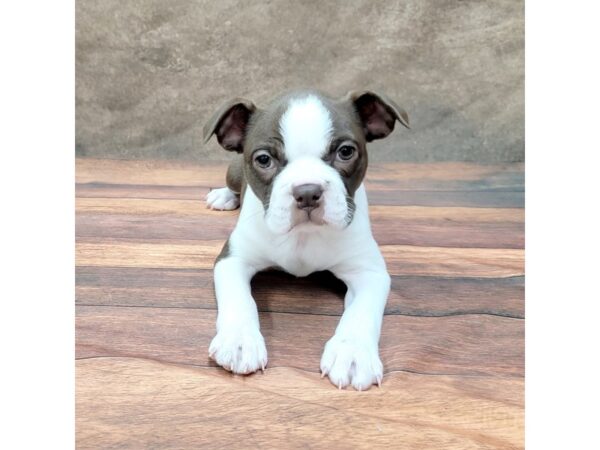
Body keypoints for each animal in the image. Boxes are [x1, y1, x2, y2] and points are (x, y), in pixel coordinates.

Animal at [205, 90, 408, 390]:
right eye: (264, 159)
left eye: (345, 152)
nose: (308, 191)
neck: (304, 236)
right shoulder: (233, 259)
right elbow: (239, 298)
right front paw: (240, 340)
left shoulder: (369, 273)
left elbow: (361, 312)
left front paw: (353, 353)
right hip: (233, 171)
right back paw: (223, 196)